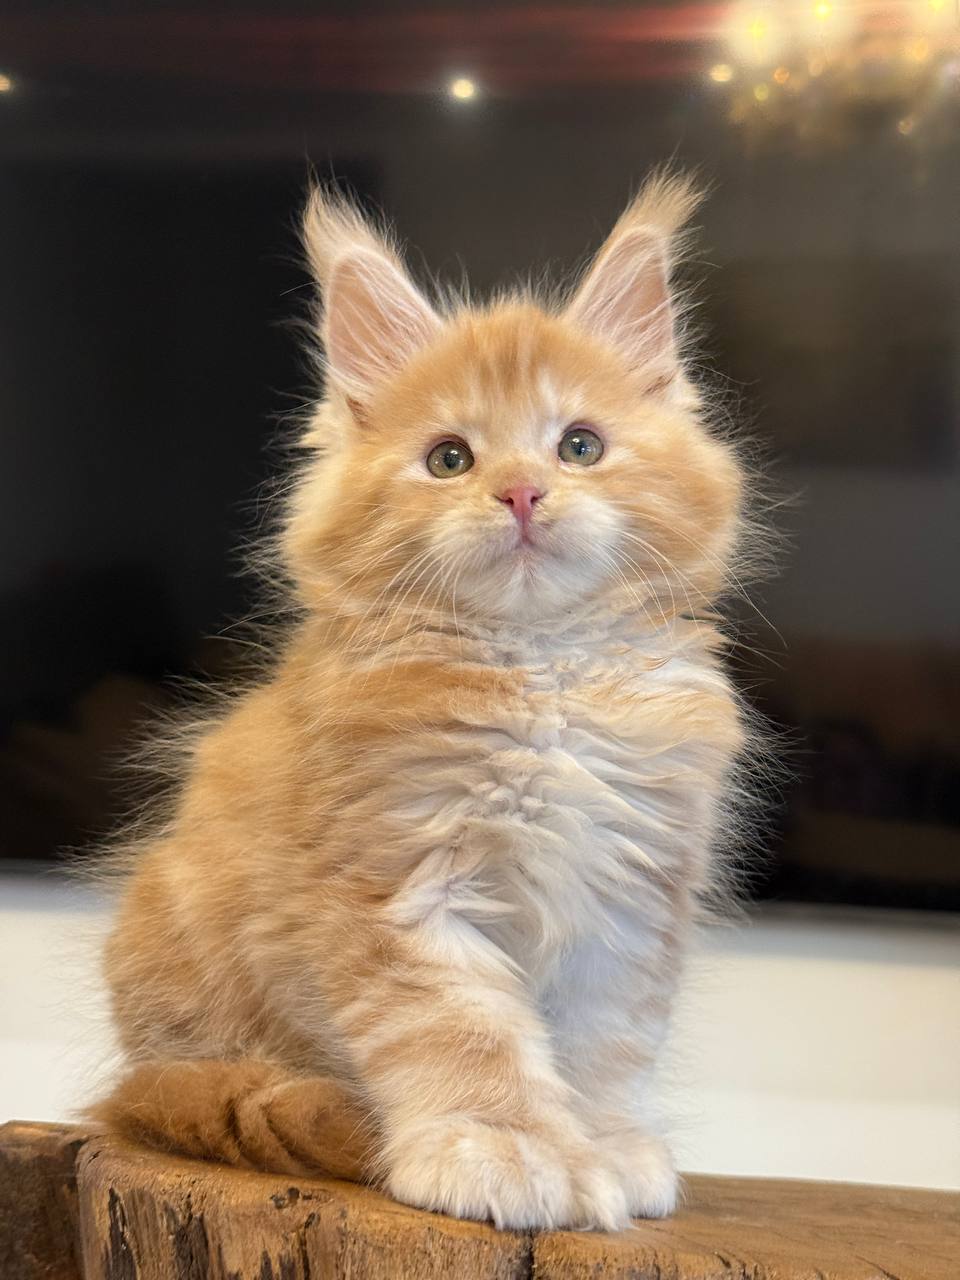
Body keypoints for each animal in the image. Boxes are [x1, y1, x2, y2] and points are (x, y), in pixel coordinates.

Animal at [93, 171, 755, 1232]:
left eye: (579, 446)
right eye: (451, 459)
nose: (522, 493)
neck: (539, 671)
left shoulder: (629, 897)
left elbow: (607, 1044)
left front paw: (607, 1148)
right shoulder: (403, 887)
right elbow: (462, 1035)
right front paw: (505, 1149)